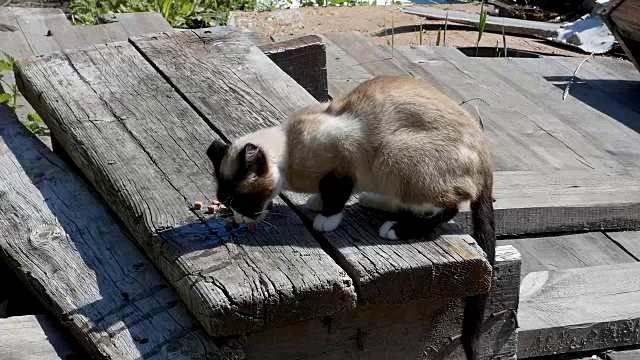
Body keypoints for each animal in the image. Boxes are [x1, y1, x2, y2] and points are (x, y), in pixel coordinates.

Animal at [208, 74, 498, 358]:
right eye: (226, 203)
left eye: (241, 202)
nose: (239, 221)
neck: (291, 148)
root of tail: (485, 156)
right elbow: (325, 194)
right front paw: (316, 203)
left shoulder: (341, 169)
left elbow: (335, 196)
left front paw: (326, 219)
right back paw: (374, 200)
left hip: (394, 155)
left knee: (449, 206)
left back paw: (395, 227)